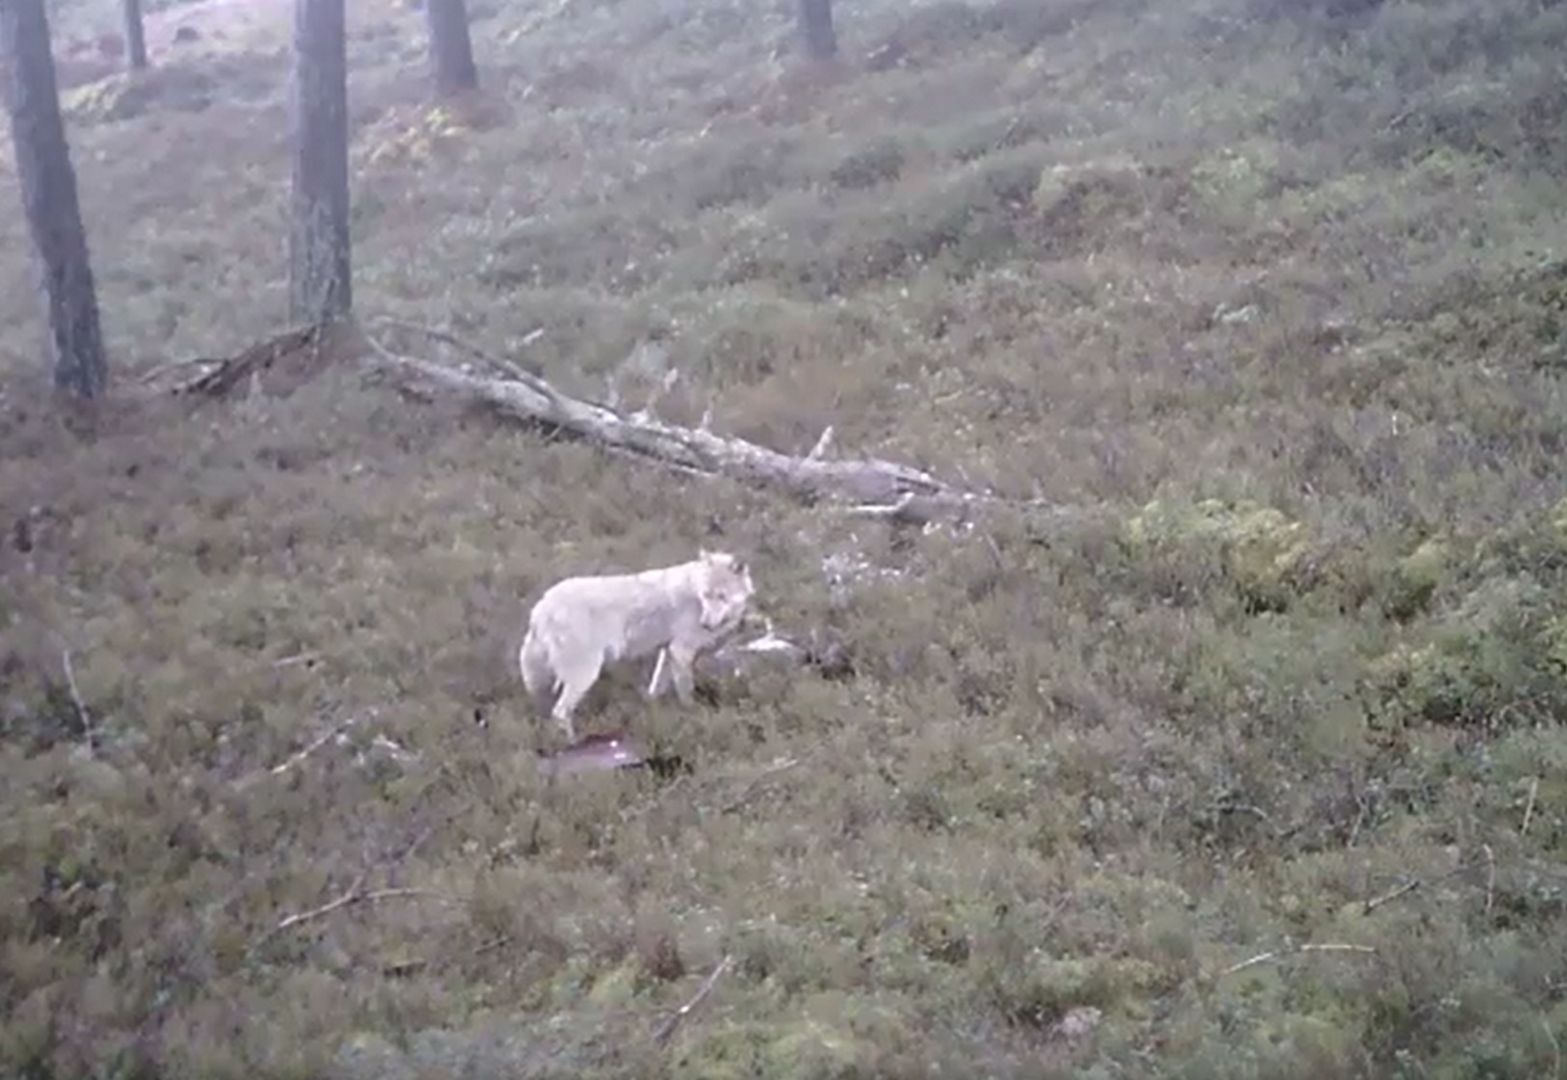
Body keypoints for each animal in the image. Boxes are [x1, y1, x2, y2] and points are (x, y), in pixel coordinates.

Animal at [517, 551, 755, 736]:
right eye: (706, 595)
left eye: (721, 597)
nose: (705, 623)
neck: (695, 593)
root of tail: (540, 608)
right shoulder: (681, 651)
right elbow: (687, 692)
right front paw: (694, 715)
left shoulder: (668, 651)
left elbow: (656, 689)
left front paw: (652, 711)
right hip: (585, 675)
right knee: (559, 713)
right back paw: (574, 743)